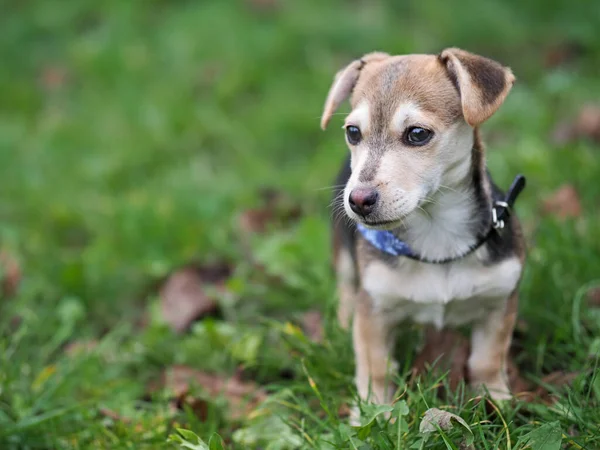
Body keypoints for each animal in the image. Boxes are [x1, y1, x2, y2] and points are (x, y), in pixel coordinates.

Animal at [324, 48, 524, 412]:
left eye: (417, 134)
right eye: (353, 132)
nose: (358, 200)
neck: (436, 233)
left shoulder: (499, 301)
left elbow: (487, 360)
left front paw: (496, 401)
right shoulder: (373, 307)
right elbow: (376, 367)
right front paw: (374, 412)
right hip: (345, 258)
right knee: (345, 288)